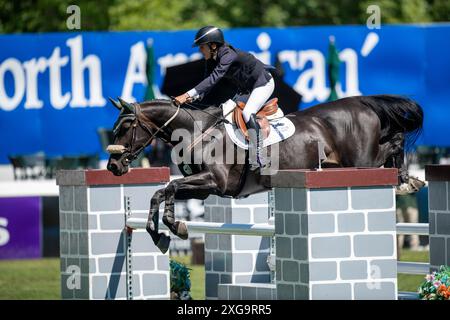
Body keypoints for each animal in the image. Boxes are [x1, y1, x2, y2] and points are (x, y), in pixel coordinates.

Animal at [107, 95, 424, 252]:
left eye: (126, 127)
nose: (113, 167)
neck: (198, 132)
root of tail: (362, 103)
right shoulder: (204, 188)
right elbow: (161, 192)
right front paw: (161, 234)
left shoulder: (215, 182)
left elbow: (169, 190)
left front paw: (174, 226)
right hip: (342, 167)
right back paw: (406, 180)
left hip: (362, 161)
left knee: (395, 141)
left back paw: (407, 180)